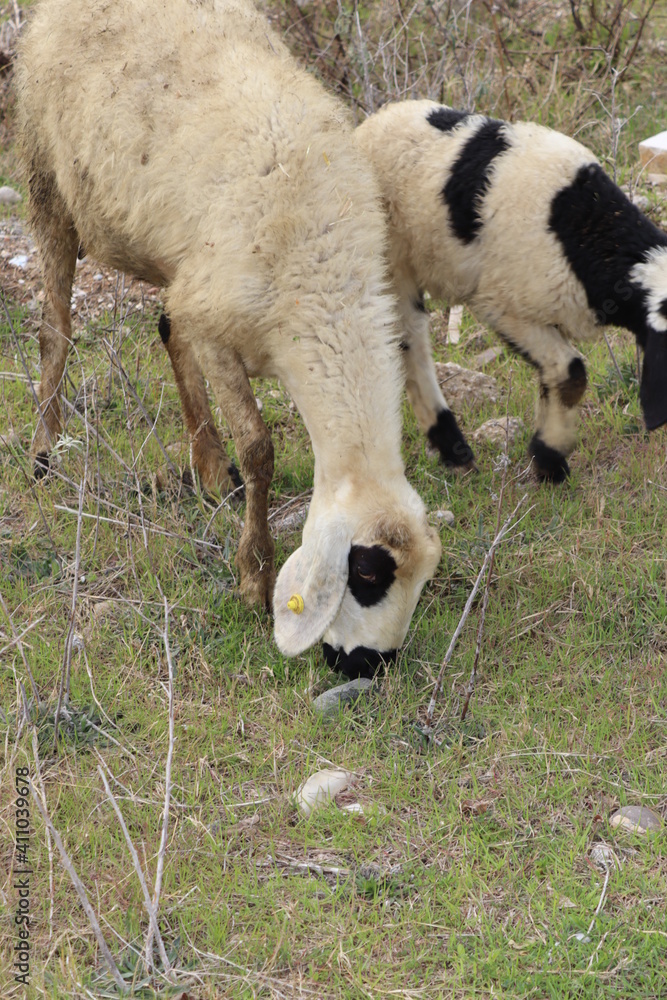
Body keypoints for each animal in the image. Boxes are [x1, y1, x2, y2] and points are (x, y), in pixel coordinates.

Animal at [15, 0, 441, 678]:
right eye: (369, 573)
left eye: (421, 579)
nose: (367, 667)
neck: (321, 276)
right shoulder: (221, 336)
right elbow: (260, 447)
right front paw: (253, 579)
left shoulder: (214, 305)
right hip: (47, 179)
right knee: (56, 328)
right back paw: (43, 452)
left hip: (179, 255)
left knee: (170, 325)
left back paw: (211, 470)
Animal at [355, 100, 667, 482]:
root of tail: (367, 125)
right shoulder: (503, 305)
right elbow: (572, 372)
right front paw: (549, 460)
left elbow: (555, 376)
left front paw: (547, 455)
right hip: (390, 262)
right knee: (409, 342)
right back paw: (452, 448)